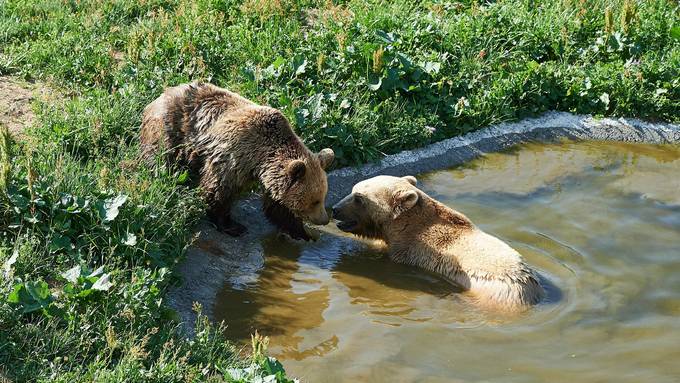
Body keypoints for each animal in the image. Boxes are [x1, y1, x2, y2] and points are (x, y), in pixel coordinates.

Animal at [141, 82, 334, 240]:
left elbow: (278, 206)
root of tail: (159, 96)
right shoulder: (232, 156)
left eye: (323, 196)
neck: (259, 157)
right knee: (160, 157)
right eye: (315, 200)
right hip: (169, 128)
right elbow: (218, 190)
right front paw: (232, 226)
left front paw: (303, 233)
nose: (324, 219)